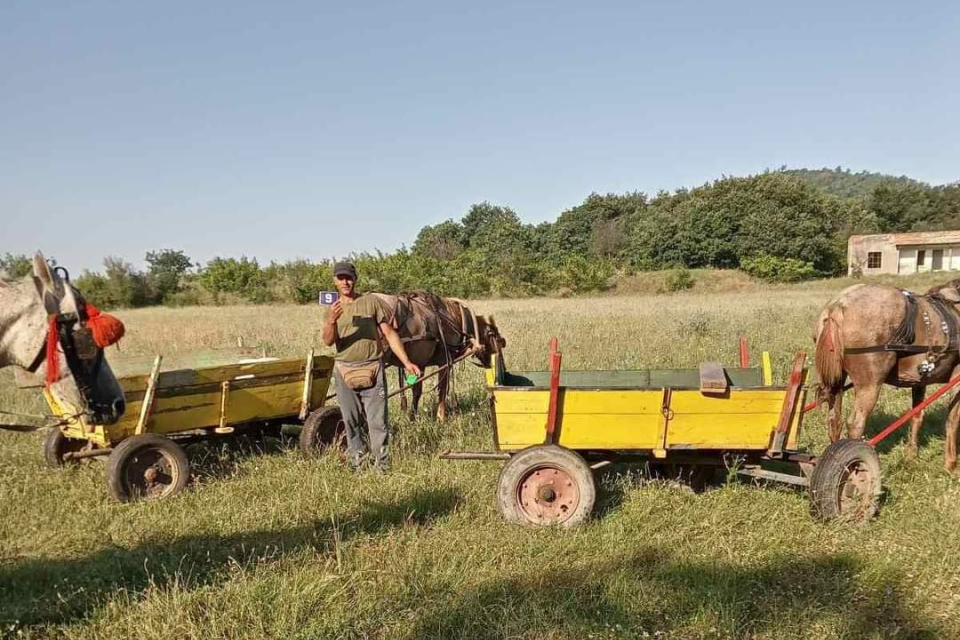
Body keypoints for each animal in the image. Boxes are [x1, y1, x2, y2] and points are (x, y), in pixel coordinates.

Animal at [374, 292, 506, 422]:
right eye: (496, 338)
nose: (497, 363)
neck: (457, 318)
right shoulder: (444, 362)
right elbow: (442, 390)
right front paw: (440, 418)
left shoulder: (420, 364)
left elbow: (416, 391)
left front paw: (412, 417)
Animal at [812, 282, 960, 476]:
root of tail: (838, 305)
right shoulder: (956, 378)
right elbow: (952, 420)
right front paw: (951, 464)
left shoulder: (919, 380)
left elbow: (917, 416)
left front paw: (911, 457)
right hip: (870, 385)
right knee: (855, 424)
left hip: (837, 383)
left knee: (834, 421)